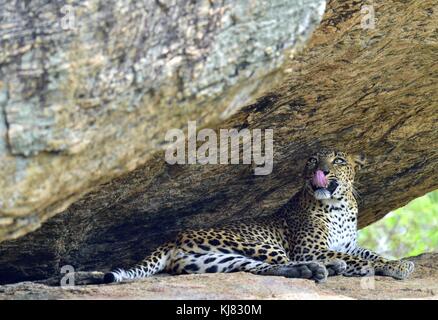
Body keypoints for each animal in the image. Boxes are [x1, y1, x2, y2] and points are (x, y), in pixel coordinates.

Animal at [102, 149, 414, 284]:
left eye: (338, 160)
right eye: (313, 160)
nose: (321, 170)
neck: (340, 206)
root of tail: (174, 237)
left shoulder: (349, 244)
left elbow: (369, 254)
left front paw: (395, 262)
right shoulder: (311, 248)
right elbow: (360, 259)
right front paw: (396, 267)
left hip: (216, 260)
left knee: (259, 268)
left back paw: (315, 270)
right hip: (253, 243)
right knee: (283, 262)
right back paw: (324, 268)